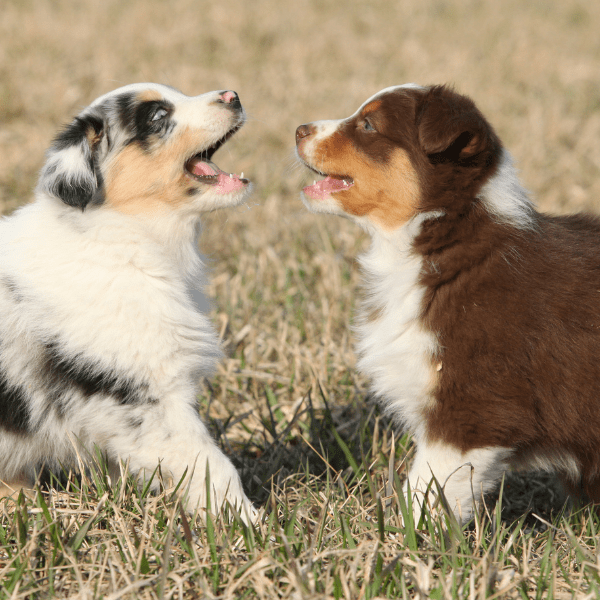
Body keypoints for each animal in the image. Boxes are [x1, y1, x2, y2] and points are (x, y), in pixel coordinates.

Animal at [0, 82, 255, 524]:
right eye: (156, 116)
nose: (233, 94)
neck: (123, 233)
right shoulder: (146, 394)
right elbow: (212, 464)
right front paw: (251, 524)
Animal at [298, 83, 600, 520]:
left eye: (368, 124)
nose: (299, 129)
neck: (442, 238)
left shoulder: (472, 408)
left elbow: (427, 488)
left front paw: (404, 533)